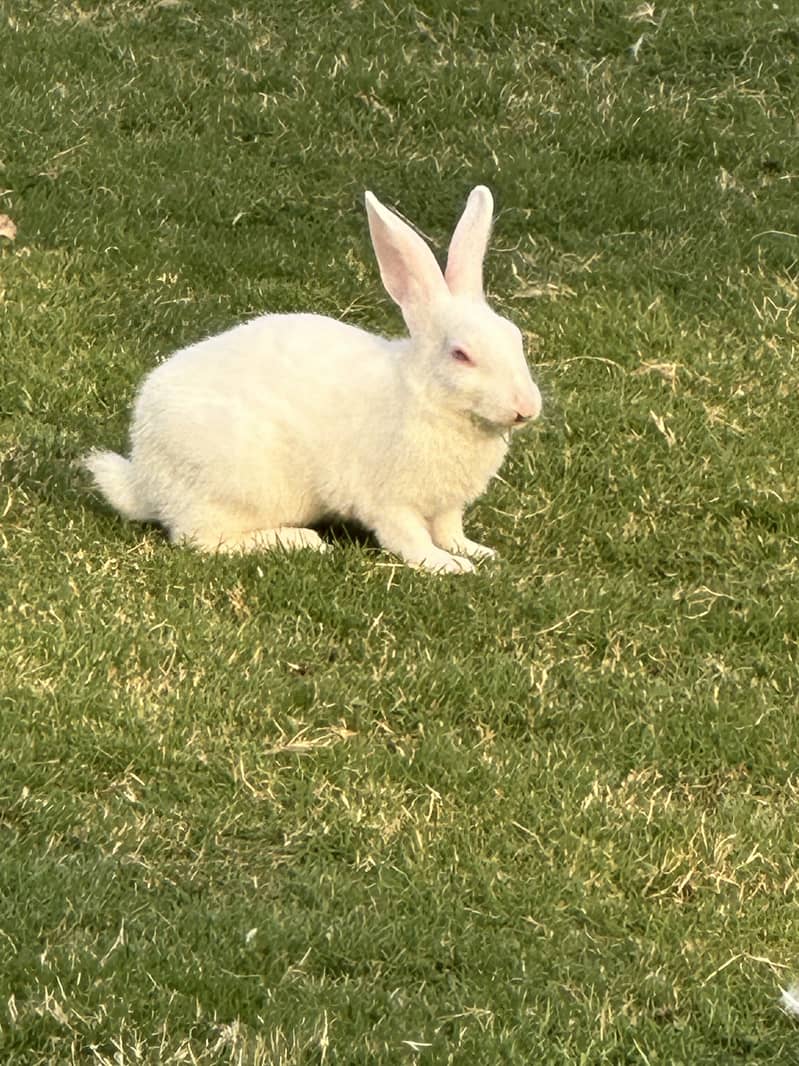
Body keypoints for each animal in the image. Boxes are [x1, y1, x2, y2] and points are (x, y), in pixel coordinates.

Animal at [83, 185, 542, 574]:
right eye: (461, 355)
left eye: (514, 335)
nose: (527, 407)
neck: (428, 399)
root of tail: (144, 476)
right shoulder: (392, 502)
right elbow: (410, 539)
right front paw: (449, 566)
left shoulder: (447, 506)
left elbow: (450, 531)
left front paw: (478, 552)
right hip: (238, 489)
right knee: (199, 538)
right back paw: (300, 540)